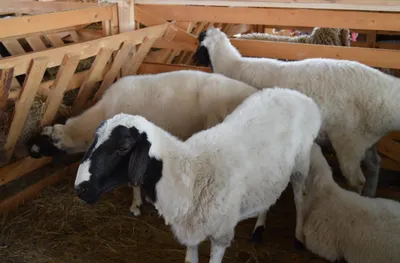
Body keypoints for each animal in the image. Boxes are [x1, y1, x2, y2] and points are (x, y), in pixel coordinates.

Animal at [72, 88, 322, 263]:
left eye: (123, 148)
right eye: (94, 139)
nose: (80, 189)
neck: (189, 174)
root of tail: (296, 94)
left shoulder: (221, 234)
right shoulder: (190, 230)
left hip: (301, 163)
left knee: (299, 198)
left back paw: (298, 238)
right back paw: (258, 229)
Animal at [192, 27, 398, 202]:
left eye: (198, 43)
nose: (194, 60)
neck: (233, 66)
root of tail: (389, 92)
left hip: (350, 142)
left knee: (357, 179)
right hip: (366, 138)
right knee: (374, 165)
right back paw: (370, 195)